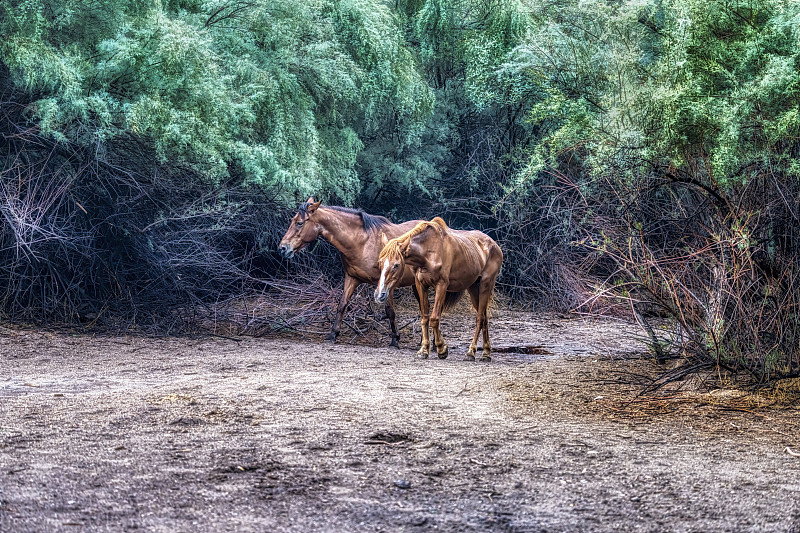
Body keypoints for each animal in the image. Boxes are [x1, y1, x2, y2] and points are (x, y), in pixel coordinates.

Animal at [278, 197, 422, 348]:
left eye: (299, 223)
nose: (282, 248)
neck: (362, 242)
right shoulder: (351, 278)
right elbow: (342, 305)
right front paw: (333, 334)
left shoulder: (387, 283)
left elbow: (390, 311)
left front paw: (395, 340)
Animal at [374, 216, 500, 362]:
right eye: (380, 263)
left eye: (396, 265)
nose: (379, 294)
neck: (428, 252)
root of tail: (494, 245)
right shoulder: (420, 285)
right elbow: (424, 317)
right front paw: (424, 350)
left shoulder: (441, 286)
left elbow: (434, 318)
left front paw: (441, 349)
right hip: (474, 288)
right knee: (484, 318)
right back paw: (486, 352)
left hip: (486, 285)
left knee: (479, 318)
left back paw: (471, 352)